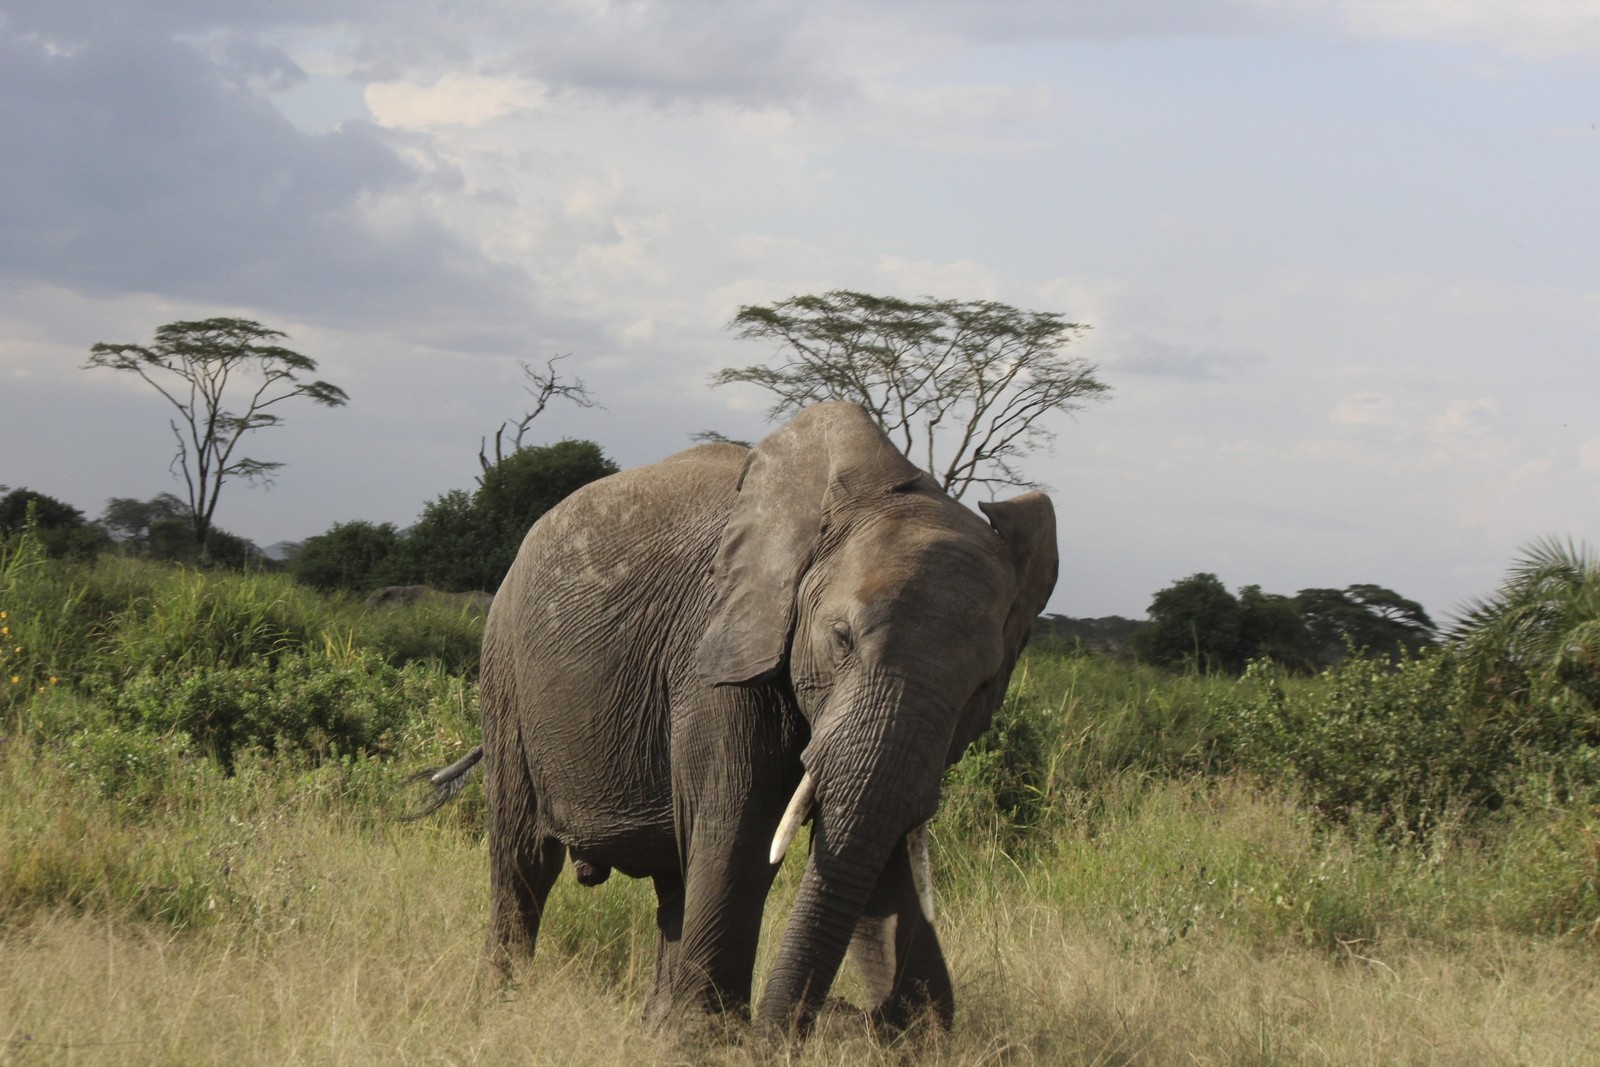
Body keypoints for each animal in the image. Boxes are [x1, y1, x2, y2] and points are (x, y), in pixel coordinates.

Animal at [419, 399, 1056, 1036]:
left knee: (674, 875)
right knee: (525, 857)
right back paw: (501, 1008)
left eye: (982, 686)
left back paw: (656, 1027)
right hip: (505, 667)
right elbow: (741, 831)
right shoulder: (715, 649)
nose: (849, 1014)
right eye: (841, 639)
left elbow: (877, 850)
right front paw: (713, 1043)